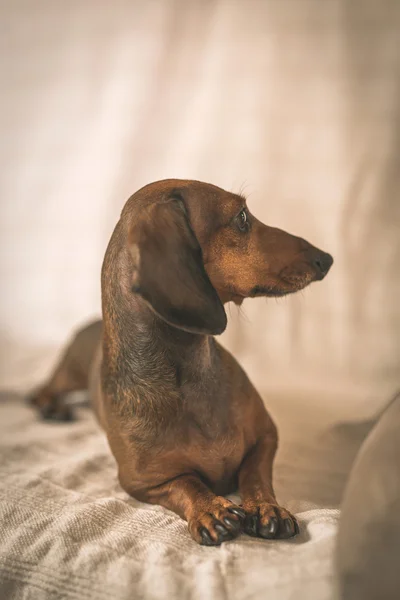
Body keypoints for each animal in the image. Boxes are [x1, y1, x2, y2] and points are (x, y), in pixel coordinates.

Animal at [29, 178, 332, 544]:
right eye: (242, 217)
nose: (326, 258)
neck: (189, 378)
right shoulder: (142, 483)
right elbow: (187, 483)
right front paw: (210, 508)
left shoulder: (267, 436)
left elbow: (254, 474)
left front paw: (265, 507)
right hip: (70, 372)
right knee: (42, 388)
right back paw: (52, 407)